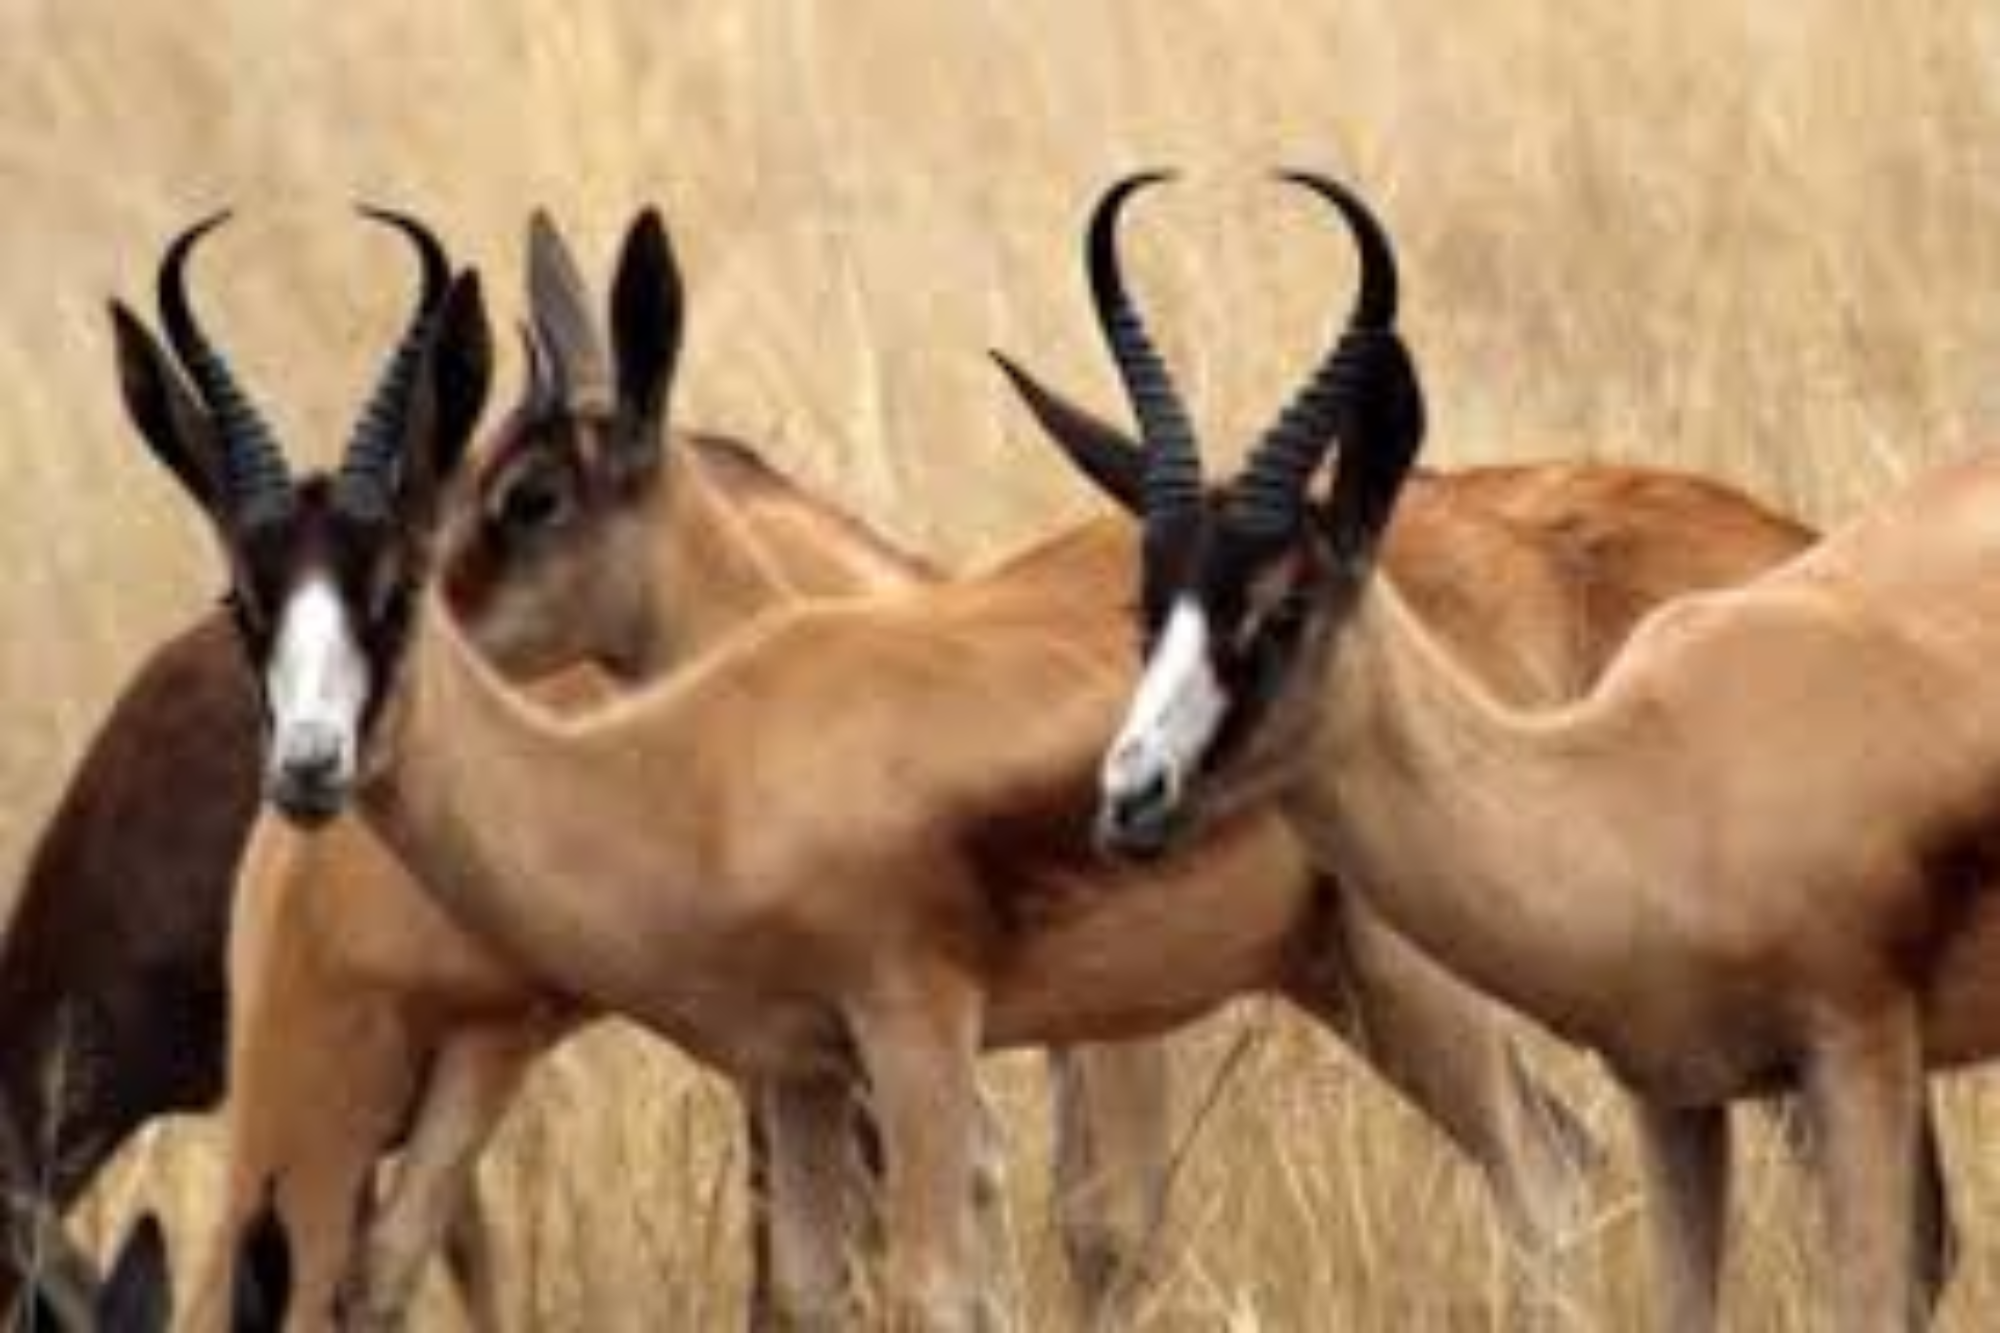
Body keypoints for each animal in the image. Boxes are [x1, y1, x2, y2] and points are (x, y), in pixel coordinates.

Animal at [101, 202, 1872, 1320]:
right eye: (244, 589)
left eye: (524, 498)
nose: (307, 768)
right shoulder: (811, 1066)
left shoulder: (964, 1033)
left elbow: (1027, 1256)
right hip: (1355, 980)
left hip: (1417, 976)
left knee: (1553, 1174)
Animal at [1096, 171, 2000, 1320]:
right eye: (1146, 603)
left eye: (1282, 606)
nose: (1132, 797)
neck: (1647, 787)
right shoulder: (1673, 1096)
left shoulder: (1857, 1058)